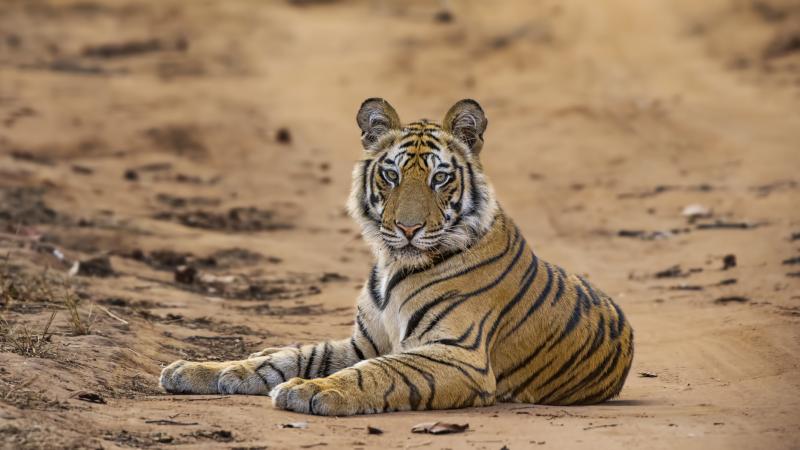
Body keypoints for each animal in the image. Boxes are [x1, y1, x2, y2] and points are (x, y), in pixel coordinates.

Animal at [159, 97, 636, 414]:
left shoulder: (457, 354)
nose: (408, 229)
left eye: (440, 178)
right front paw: (200, 370)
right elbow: (292, 357)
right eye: (391, 175)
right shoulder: (363, 341)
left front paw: (314, 391)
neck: (394, 266)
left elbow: (381, 371)